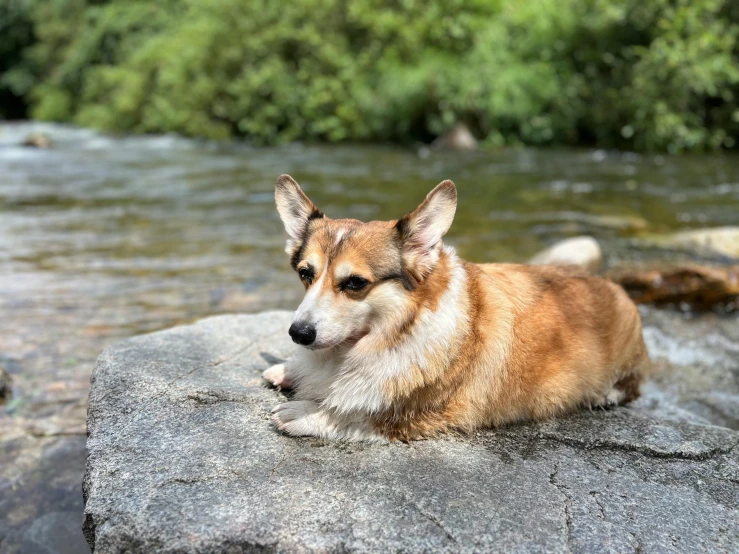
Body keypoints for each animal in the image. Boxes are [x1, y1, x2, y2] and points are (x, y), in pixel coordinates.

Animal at [264, 174, 648, 440]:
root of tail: (612, 284)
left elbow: (351, 413)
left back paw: (607, 395)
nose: (298, 333)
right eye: (305, 274)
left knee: (634, 385)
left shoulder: (419, 413)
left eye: (355, 283)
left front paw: (301, 412)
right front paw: (288, 369)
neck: (398, 328)